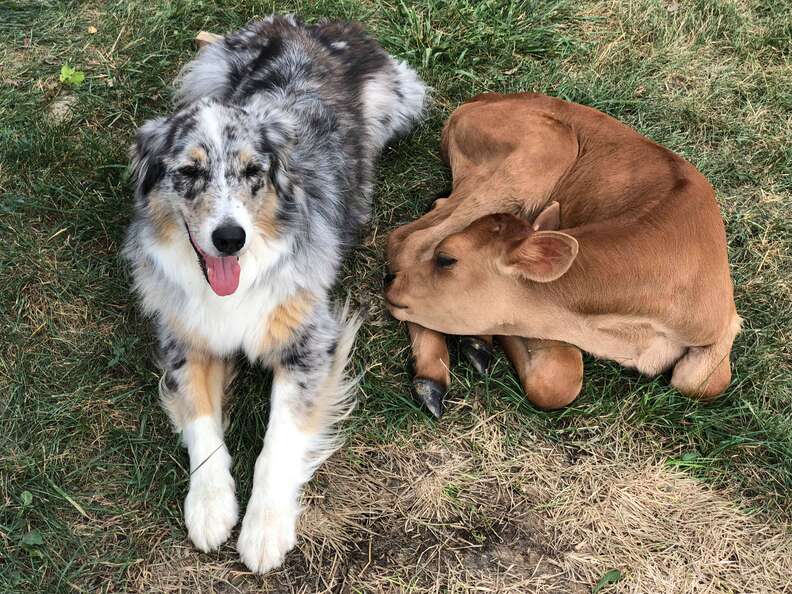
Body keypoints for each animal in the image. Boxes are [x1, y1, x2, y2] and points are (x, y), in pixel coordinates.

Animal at [122, 16, 426, 572]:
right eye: (189, 172)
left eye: (252, 172)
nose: (229, 237)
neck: (233, 282)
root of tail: (301, 24)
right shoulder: (185, 341)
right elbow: (202, 424)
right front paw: (210, 507)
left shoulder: (309, 340)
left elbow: (277, 440)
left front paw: (265, 528)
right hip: (208, 70)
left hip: (400, 100)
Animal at [386, 93, 740, 416]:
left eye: (447, 259)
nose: (391, 284)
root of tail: (476, 101)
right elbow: (558, 380)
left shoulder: (725, 321)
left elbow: (702, 382)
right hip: (547, 148)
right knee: (408, 238)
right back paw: (432, 375)